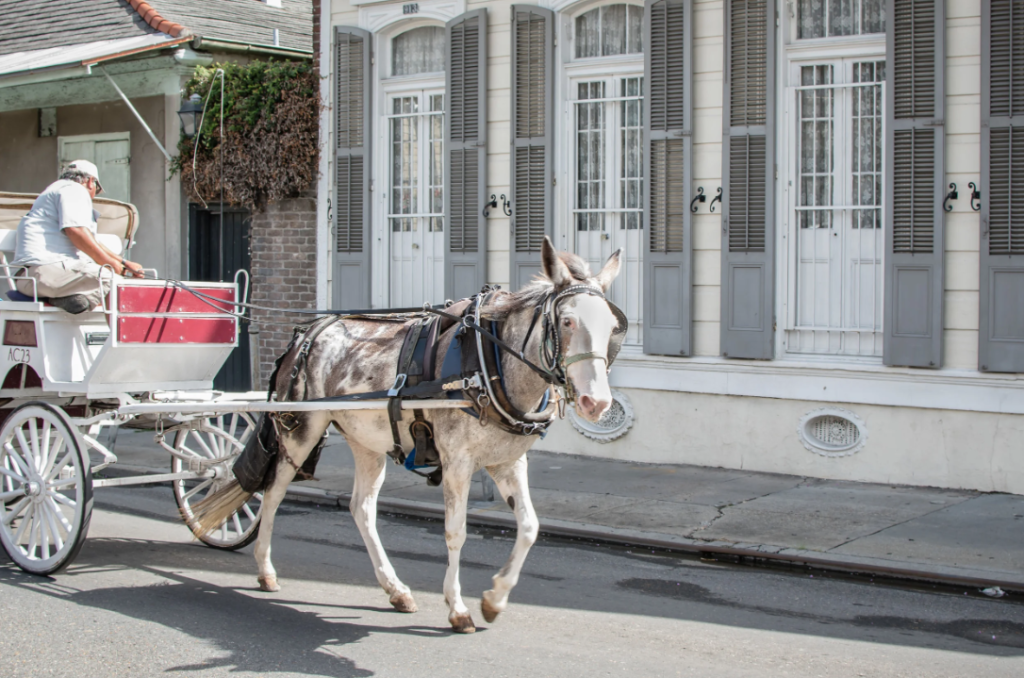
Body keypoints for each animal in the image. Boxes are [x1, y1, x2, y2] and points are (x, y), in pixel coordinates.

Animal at [193, 237, 623, 633]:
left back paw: (395, 589)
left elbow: (530, 528)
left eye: (613, 327)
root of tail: (309, 331)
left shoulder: (507, 461)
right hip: (301, 432)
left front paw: (495, 599)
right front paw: (458, 608)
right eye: (566, 322)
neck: (492, 363)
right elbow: (455, 532)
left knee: (361, 509)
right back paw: (265, 569)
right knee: (273, 492)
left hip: (365, 442)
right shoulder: (457, 463)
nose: (596, 402)